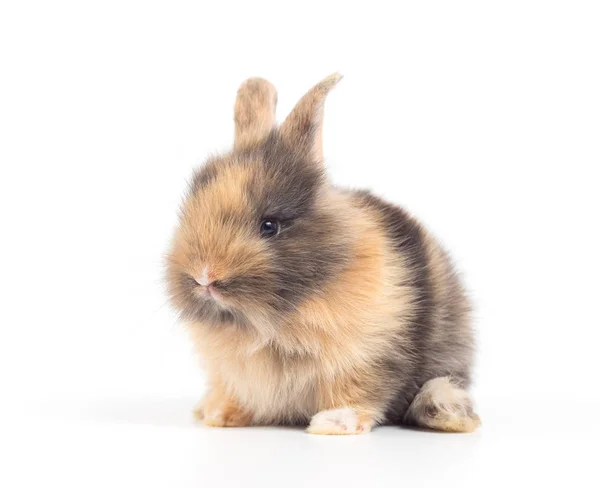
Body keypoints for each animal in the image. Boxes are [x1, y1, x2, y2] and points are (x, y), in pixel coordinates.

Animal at [166, 73, 480, 434]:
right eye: (190, 211)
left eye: (269, 226)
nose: (205, 276)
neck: (265, 322)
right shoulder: (231, 372)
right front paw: (220, 415)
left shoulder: (366, 355)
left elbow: (355, 391)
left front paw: (332, 423)